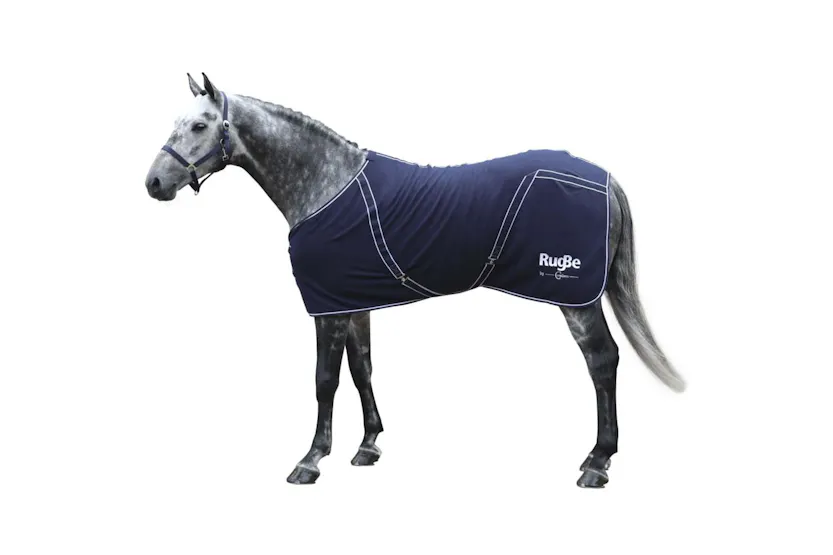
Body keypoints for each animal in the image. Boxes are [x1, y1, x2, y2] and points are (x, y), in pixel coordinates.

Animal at [144, 73, 685, 488]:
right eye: (176, 123)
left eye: (198, 125)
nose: (153, 183)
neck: (326, 184)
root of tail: (605, 178)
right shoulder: (351, 302)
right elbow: (362, 370)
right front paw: (368, 445)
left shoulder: (326, 308)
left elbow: (324, 381)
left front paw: (310, 460)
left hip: (574, 296)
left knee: (602, 360)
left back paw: (598, 462)